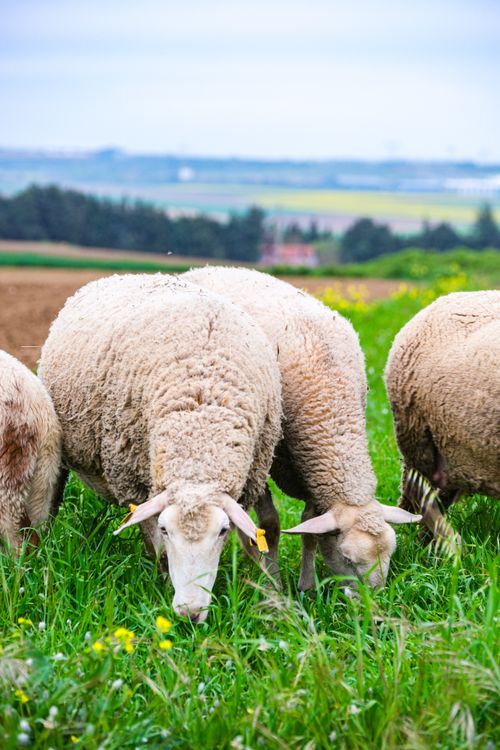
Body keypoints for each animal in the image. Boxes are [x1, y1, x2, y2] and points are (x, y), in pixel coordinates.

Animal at [39, 273, 282, 622]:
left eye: (223, 531)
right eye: (167, 529)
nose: (189, 613)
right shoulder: (134, 483)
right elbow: (157, 552)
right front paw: (161, 581)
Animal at [184, 267, 421, 591]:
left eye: (390, 555)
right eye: (347, 558)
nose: (374, 603)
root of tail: (208, 267)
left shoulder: (311, 466)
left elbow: (309, 525)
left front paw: (306, 586)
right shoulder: (264, 456)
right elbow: (270, 525)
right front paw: (274, 585)